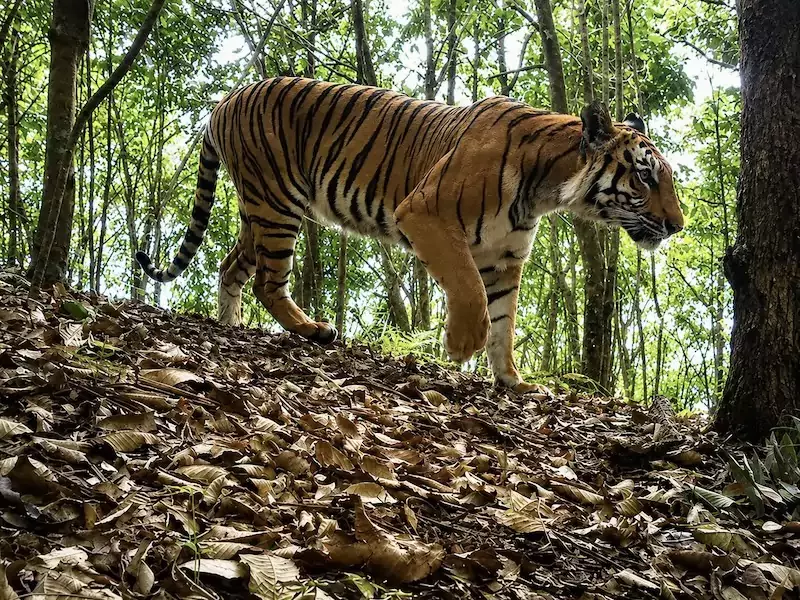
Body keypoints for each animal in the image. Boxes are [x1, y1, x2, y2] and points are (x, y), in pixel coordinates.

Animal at [136, 77, 684, 393]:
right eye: (645, 176)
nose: (677, 226)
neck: (547, 188)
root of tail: (226, 98)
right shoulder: (426, 215)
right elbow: (470, 291)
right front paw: (461, 346)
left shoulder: (506, 258)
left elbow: (504, 323)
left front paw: (513, 381)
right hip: (277, 204)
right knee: (266, 282)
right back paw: (313, 330)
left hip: (260, 209)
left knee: (231, 266)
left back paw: (230, 325)